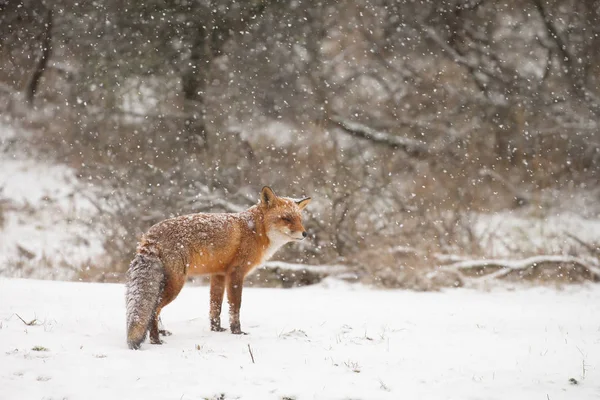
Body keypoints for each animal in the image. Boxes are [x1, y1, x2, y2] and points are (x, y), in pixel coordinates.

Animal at [125, 186, 312, 348]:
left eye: (300, 220)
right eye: (286, 218)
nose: (305, 234)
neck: (255, 230)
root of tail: (150, 235)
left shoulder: (218, 274)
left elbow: (215, 306)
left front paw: (216, 330)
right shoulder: (236, 273)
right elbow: (235, 306)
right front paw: (237, 332)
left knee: (154, 310)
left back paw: (162, 332)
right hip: (176, 284)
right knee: (154, 310)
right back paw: (155, 340)